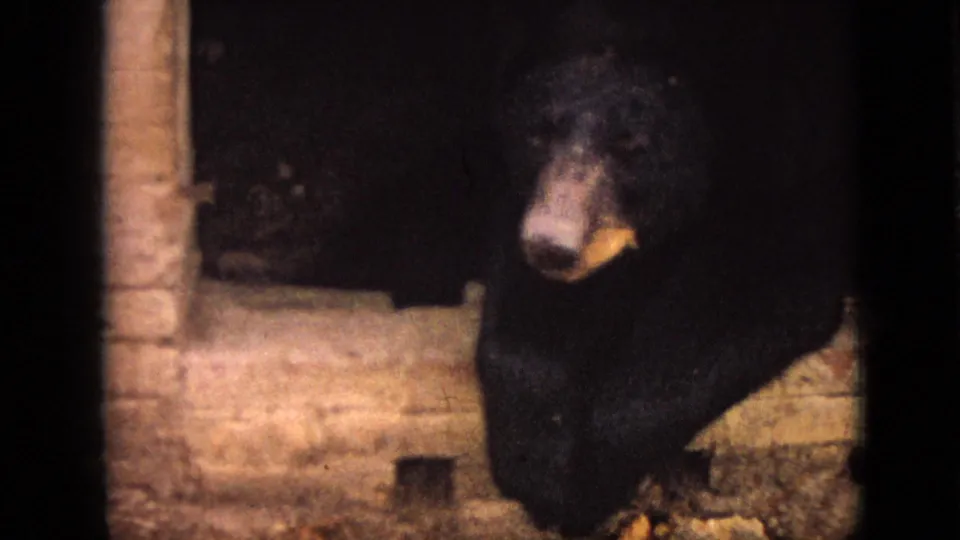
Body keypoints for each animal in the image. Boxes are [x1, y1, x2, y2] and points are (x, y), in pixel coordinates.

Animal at [473, 0, 855, 536]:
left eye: (632, 146)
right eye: (539, 132)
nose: (551, 245)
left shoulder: (798, 150)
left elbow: (760, 283)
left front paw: (587, 482)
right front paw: (535, 461)